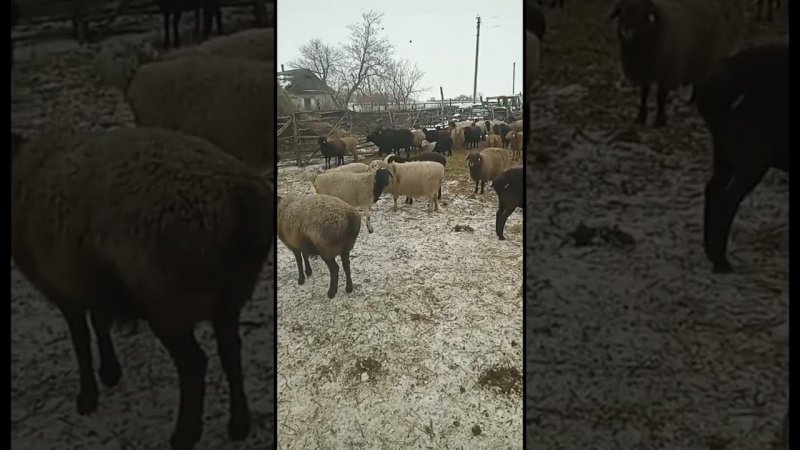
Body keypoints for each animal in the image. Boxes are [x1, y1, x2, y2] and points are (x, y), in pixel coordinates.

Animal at [10, 126, 274, 450]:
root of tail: (241, 198)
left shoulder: (65, 288)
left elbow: (81, 342)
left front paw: (87, 398)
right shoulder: (94, 283)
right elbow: (99, 323)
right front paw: (110, 372)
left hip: (169, 301)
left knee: (194, 364)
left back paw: (185, 434)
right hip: (228, 296)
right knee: (231, 352)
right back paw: (238, 425)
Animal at [608, 0, 748, 128]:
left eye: (641, 13)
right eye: (622, 13)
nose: (626, 30)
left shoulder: (667, 74)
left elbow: (660, 97)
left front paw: (659, 121)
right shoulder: (644, 73)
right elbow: (644, 95)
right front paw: (640, 118)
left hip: (711, 57)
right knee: (698, 81)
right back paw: (691, 101)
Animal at [692, 42, 788, 272]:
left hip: (723, 147)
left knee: (713, 188)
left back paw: (711, 253)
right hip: (751, 151)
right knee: (728, 198)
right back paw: (721, 262)